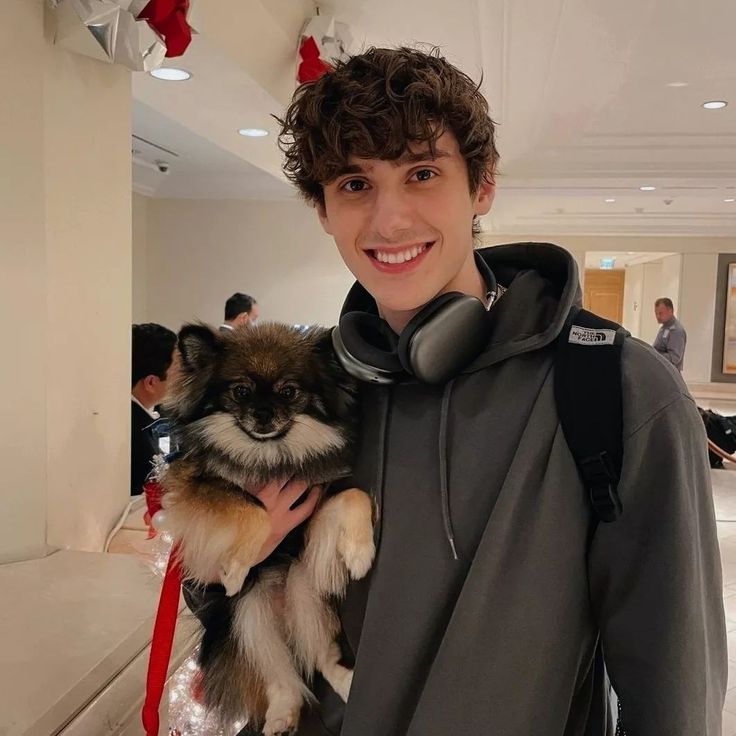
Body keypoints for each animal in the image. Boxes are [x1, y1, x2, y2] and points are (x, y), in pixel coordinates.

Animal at [162, 324, 380, 736]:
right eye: (241, 391)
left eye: (288, 391)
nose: (263, 414)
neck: (269, 457)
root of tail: (281, 615)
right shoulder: (195, 487)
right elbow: (256, 512)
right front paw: (233, 571)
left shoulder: (311, 506)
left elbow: (355, 495)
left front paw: (360, 553)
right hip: (248, 616)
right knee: (280, 676)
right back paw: (281, 714)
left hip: (304, 587)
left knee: (318, 658)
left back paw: (346, 683)